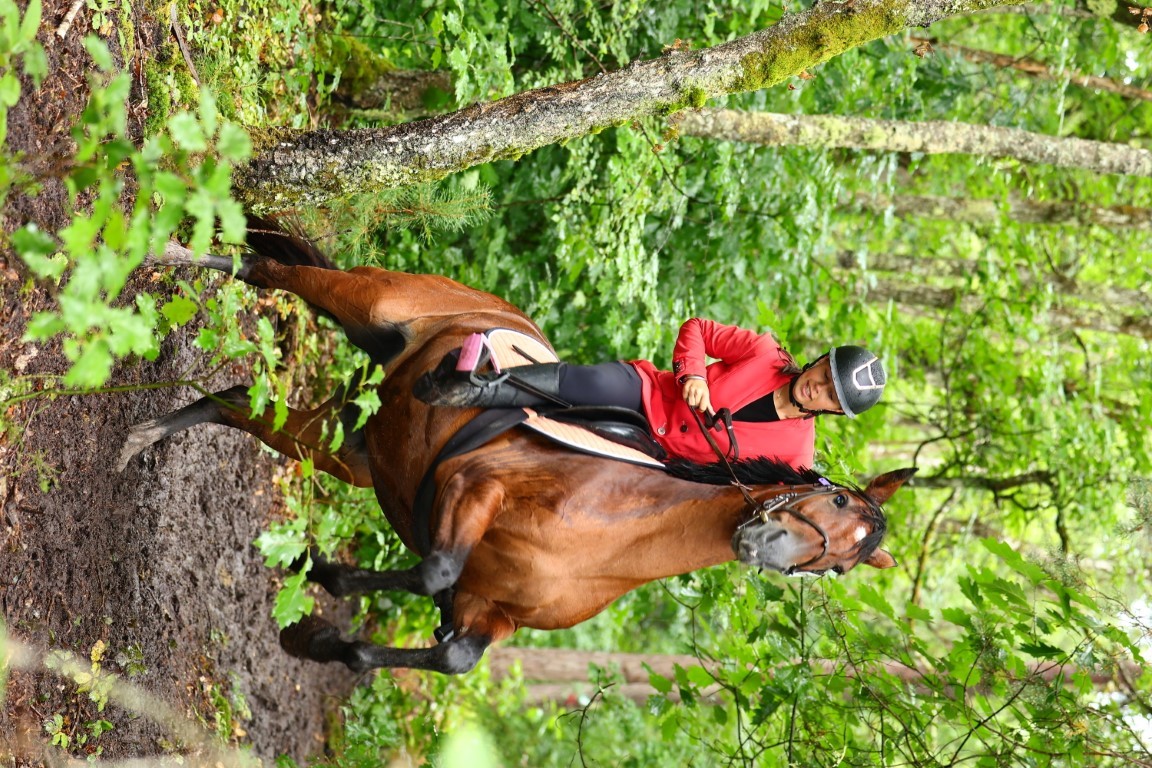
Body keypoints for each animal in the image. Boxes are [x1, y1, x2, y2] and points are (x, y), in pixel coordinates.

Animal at [118, 220, 916, 675]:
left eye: (841, 564)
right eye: (835, 502)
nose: (767, 546)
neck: (610, 536)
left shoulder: (492, 612)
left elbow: (456, 654)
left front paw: (318, 636)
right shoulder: (476, 486)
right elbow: (434, 569)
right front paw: (323, 579)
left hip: (356, 446)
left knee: (238, 405)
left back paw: (144, 437)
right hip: (361, 304)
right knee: (265, 273)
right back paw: (167, 252)